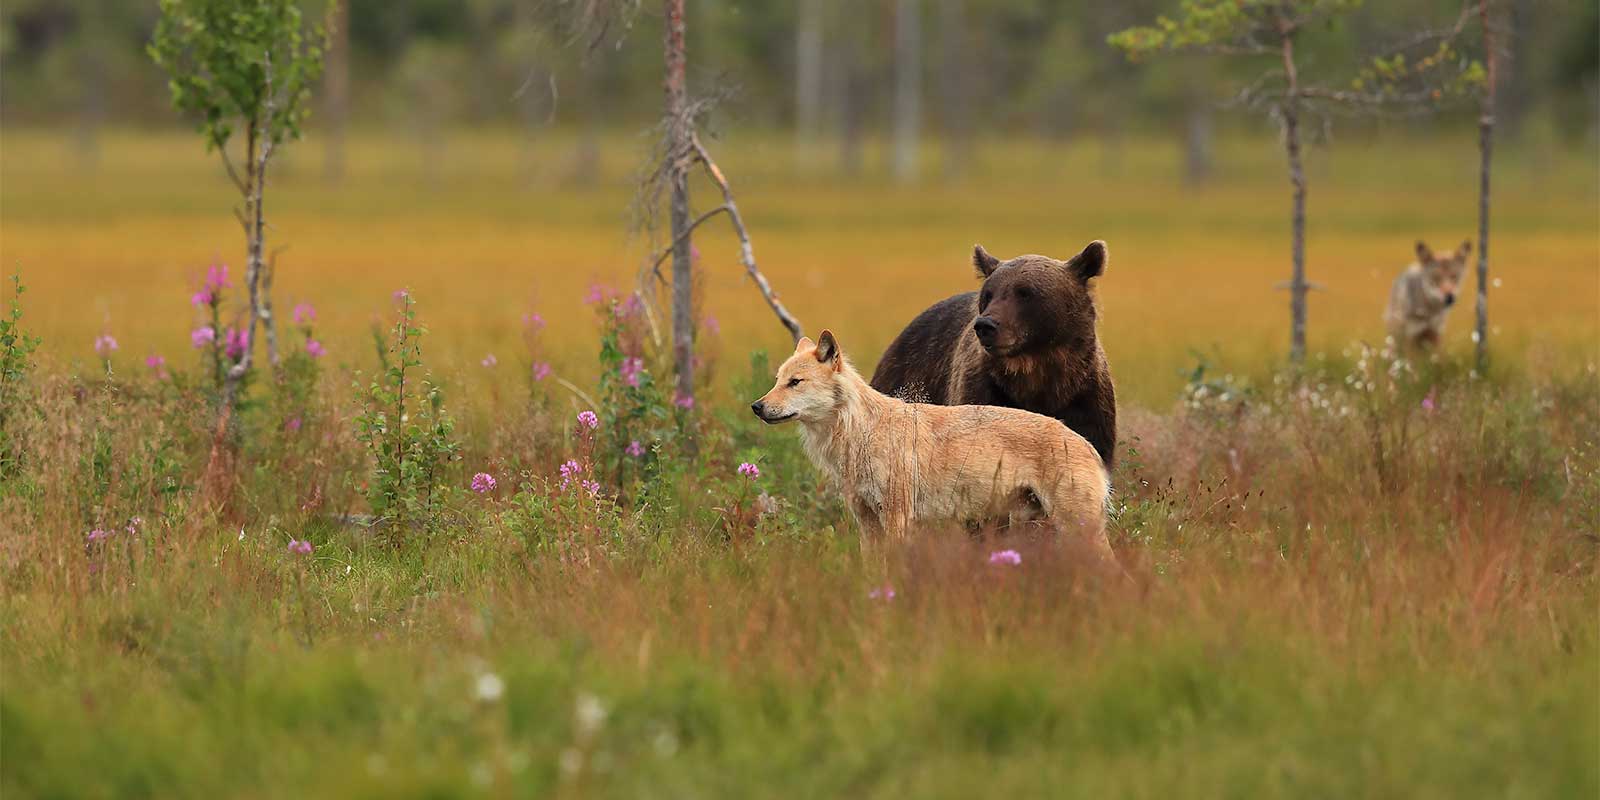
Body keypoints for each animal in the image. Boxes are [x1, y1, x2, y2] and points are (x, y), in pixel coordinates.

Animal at [751, 330, 1111, 558]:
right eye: (777, 381)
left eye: (795, 382)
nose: (756, 406)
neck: (861, 431)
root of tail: (1085, 444)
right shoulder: (866, 524)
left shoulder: (897, 520)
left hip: (1077, 529)